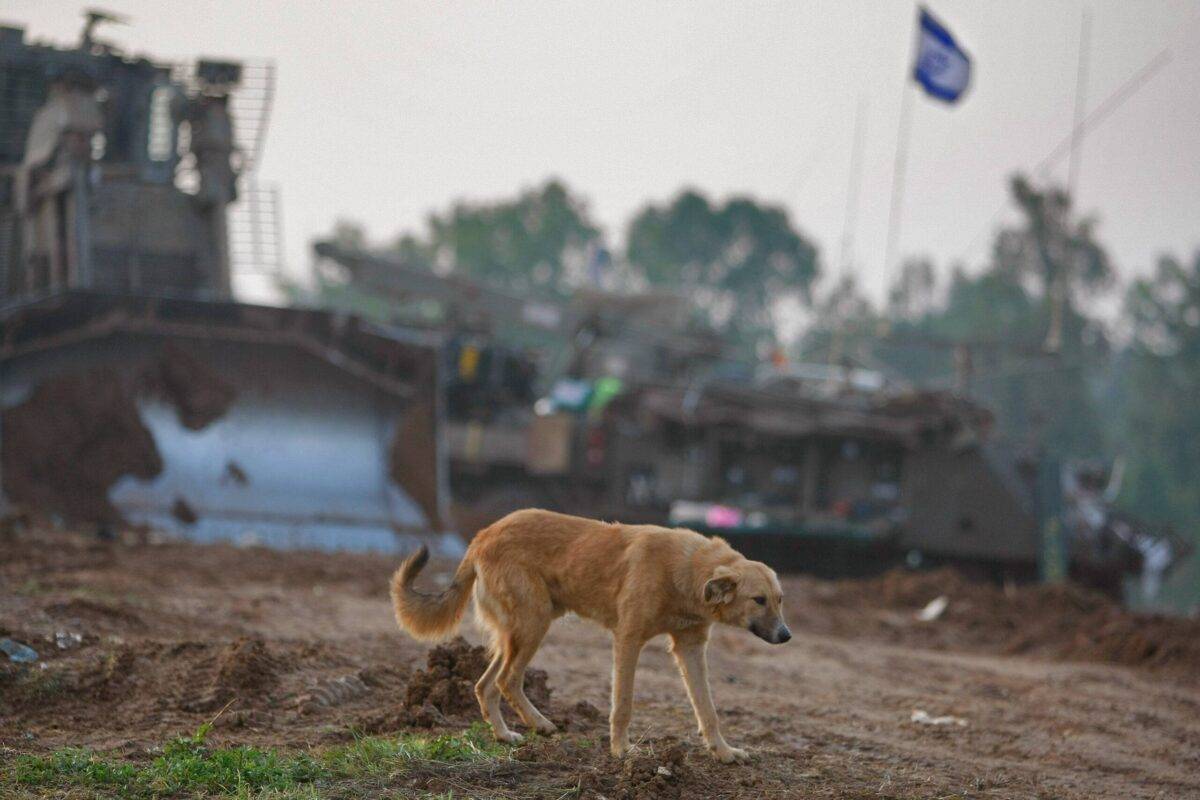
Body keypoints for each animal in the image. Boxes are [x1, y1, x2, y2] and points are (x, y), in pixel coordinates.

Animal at [388, 506, 792, 762]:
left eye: (779, 599)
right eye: (758, 600)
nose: (786, 636)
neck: (687, 571)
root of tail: (483, 535)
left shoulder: (691, 649)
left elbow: (708, 710)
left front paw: (723, 752)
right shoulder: (628, 640)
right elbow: (623, 705)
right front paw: (622, 751)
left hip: (518, 632)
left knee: (485, 685)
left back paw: (507, 735)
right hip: (532, 626)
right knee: (506, 681)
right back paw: (536, 725)